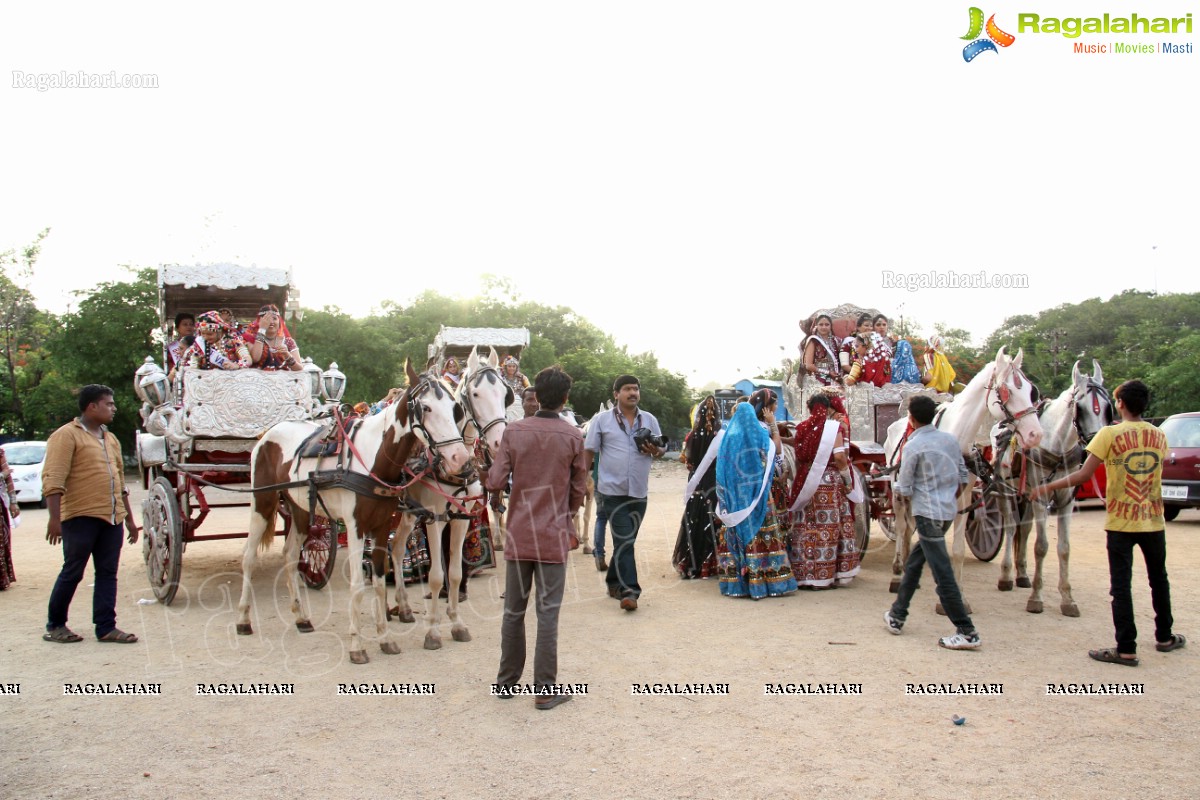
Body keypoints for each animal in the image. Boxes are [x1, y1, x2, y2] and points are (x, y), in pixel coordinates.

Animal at [236, 359, 470, 666]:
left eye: (455, 408)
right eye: (426, 408)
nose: (459, 458)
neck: (373, 458)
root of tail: (268, 434)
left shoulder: (381, 527)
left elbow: (380, 582)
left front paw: (385, 639)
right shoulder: (356, 526)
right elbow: (359, 585)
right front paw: (357, 646)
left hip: (300, 508)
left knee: (290, 554)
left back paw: (301, 617)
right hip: (262, 502)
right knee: (249, 557)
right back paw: (243, 619)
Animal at [883, 347, 1041, 618]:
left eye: (1031, 391)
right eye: (1006, 390)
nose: (1035, 434)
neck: (956, 436)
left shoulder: (964, 496)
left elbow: (956, 550)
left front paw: (958, 598)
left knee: (909, 529)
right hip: (898, 491)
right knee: (902, 527)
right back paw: (897, 573)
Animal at [998, 359, 1108, 618]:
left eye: (1108, 406)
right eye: (1081, 408)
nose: (1096, 444)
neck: (1057, 447)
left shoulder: (1066, 499)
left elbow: (1064, 548)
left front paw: (1067, 598)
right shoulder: (1042, 498)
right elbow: (1041, 546)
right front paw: (1036, 598)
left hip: (1026, 493)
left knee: (1024, 529)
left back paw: (1022, 574)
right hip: (1005, 489)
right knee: (1010, 527)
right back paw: (1006, 575)